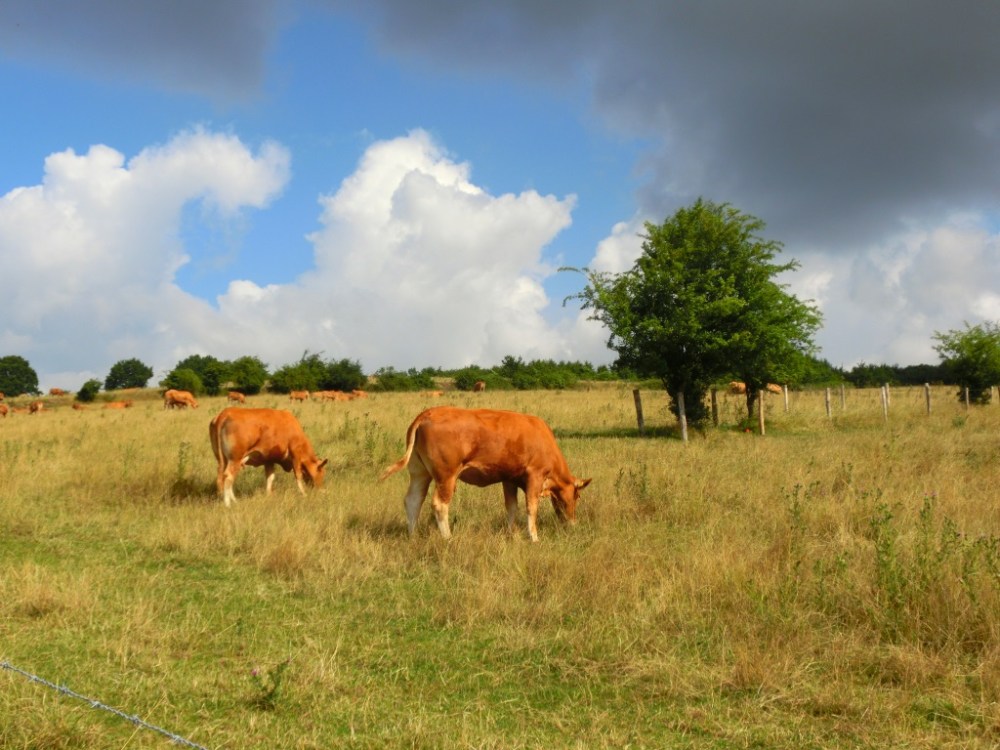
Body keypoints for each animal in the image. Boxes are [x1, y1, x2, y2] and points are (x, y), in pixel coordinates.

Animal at [380, 406, 591, 542]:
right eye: (577, 496)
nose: (572, 523)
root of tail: (427, 413)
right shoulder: (535, 476)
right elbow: (531, 508)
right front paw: (534, 537)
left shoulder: (509, 479)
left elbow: (511, 507)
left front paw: (511, 534)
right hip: (446, 476)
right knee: (439, 504)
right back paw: (448, 537)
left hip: (420, 472)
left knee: (413, 500)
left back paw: (413, 535)